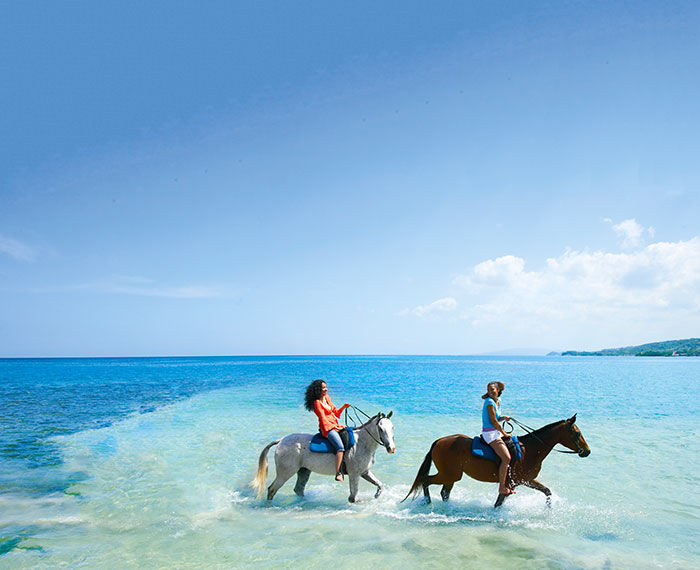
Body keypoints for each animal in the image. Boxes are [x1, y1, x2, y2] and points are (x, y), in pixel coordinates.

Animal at [252, 408, 394, 502]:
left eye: (392, 427)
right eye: (380, 428)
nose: (391, 448)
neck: (362, 443)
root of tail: (281, 441)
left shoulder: (365, 472)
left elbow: (379, 484)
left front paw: (377, 495)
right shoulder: (355, 474)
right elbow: (353, 498)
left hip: (304, 471)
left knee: (298, 489)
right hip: (285, 473)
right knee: (272, 489)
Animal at [404, 412, 592, 506]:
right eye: (577, 434)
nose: (587, 451)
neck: (530, 449)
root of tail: (439, 441)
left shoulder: (526, 480)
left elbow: (547, 491)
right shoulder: (512, 483)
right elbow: (499, 503)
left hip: (452, 476)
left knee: (444, 492)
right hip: (449, 474)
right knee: (426, 481)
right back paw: (428, 502)